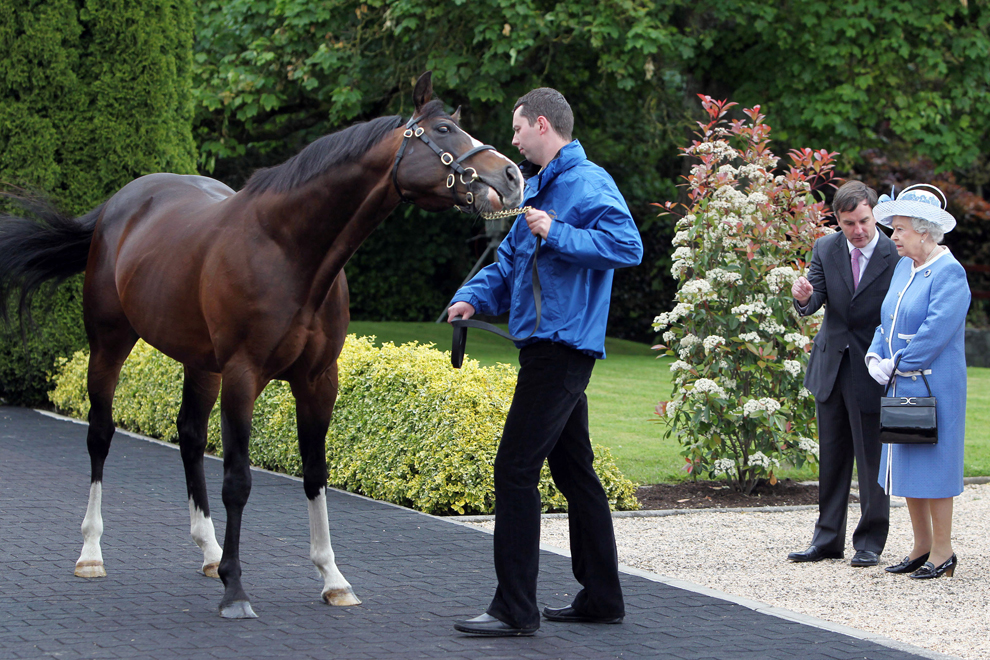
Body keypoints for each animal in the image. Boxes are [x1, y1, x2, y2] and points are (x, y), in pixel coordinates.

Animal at [0, 73, 528, 620]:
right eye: (444, 131)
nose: (512, 176)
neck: (289, 251)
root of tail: (116, 206)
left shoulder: (318, 380)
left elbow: (315, 473)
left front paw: (332, 579)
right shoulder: (243, 375)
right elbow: (238, 479)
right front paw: (235, 590)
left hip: (200, 364)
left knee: (189, 435)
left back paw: (209, 551)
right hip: (109, 343)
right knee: (100, 435)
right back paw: (91, 553)